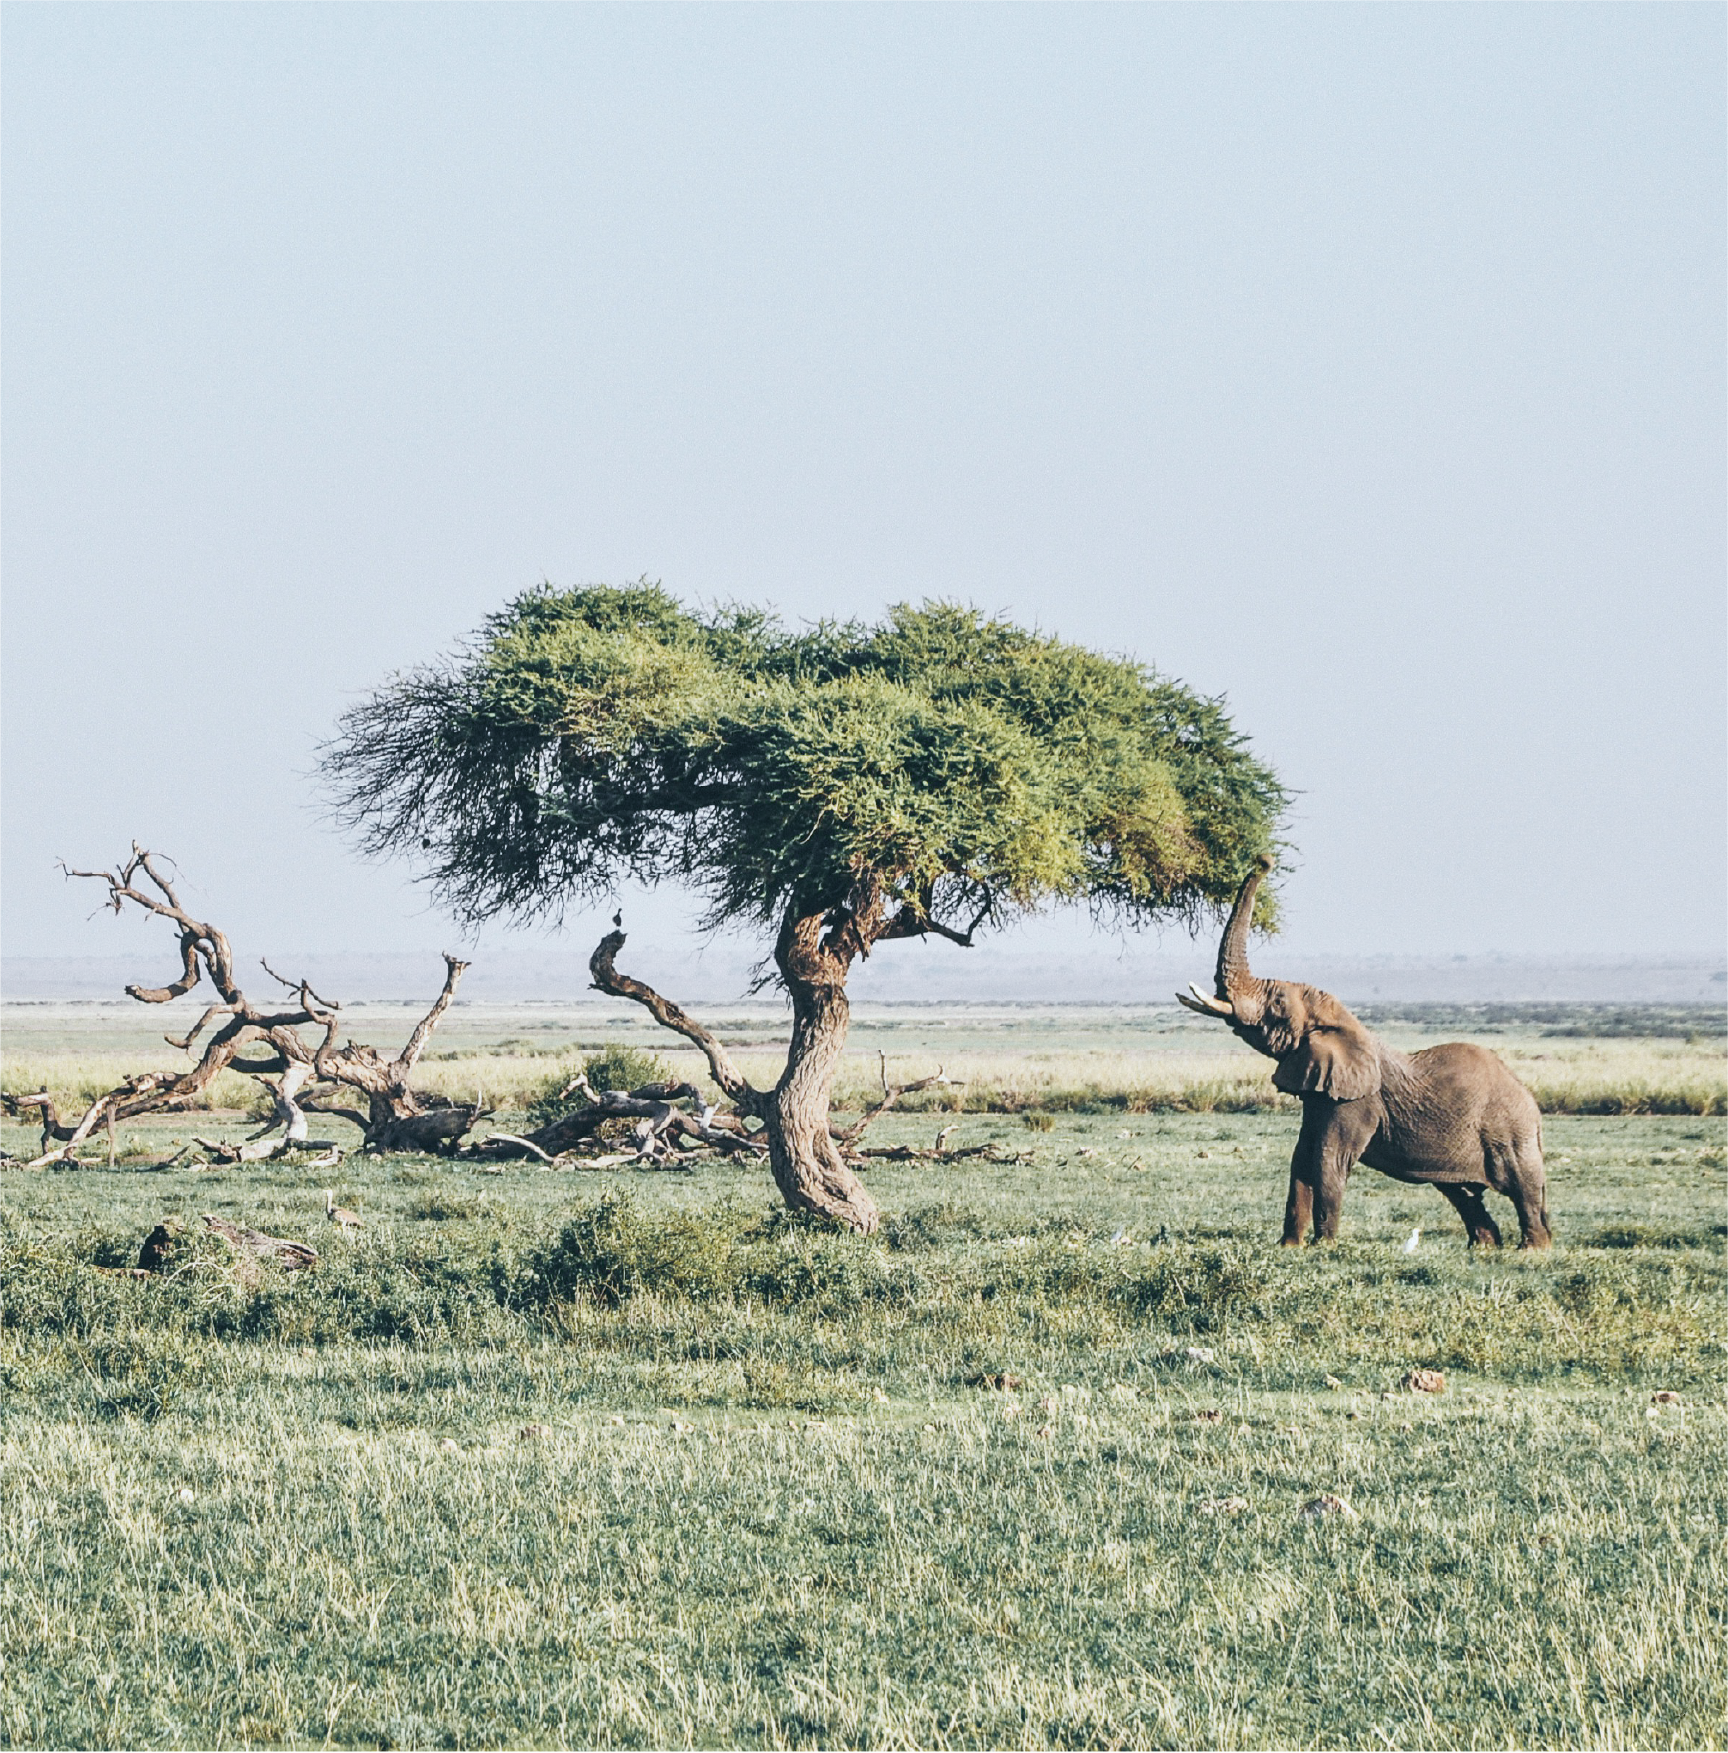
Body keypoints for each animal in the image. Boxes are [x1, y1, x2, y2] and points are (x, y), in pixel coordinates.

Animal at [1176, 859, 1551, 1249]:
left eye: (1278, 1003)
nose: (1264, 860)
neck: (1344, 1023)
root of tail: (1530, 1101)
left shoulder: (1356, 1101)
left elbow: (1329, 1159)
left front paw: (1323, 1246)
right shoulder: (1321, 1092)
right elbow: (1302, 1157)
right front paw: (1289, 1247)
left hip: (1510, 1132)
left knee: (1524, 1188)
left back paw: (1532, 1249)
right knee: (1462, 1193)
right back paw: (1483, 1247)